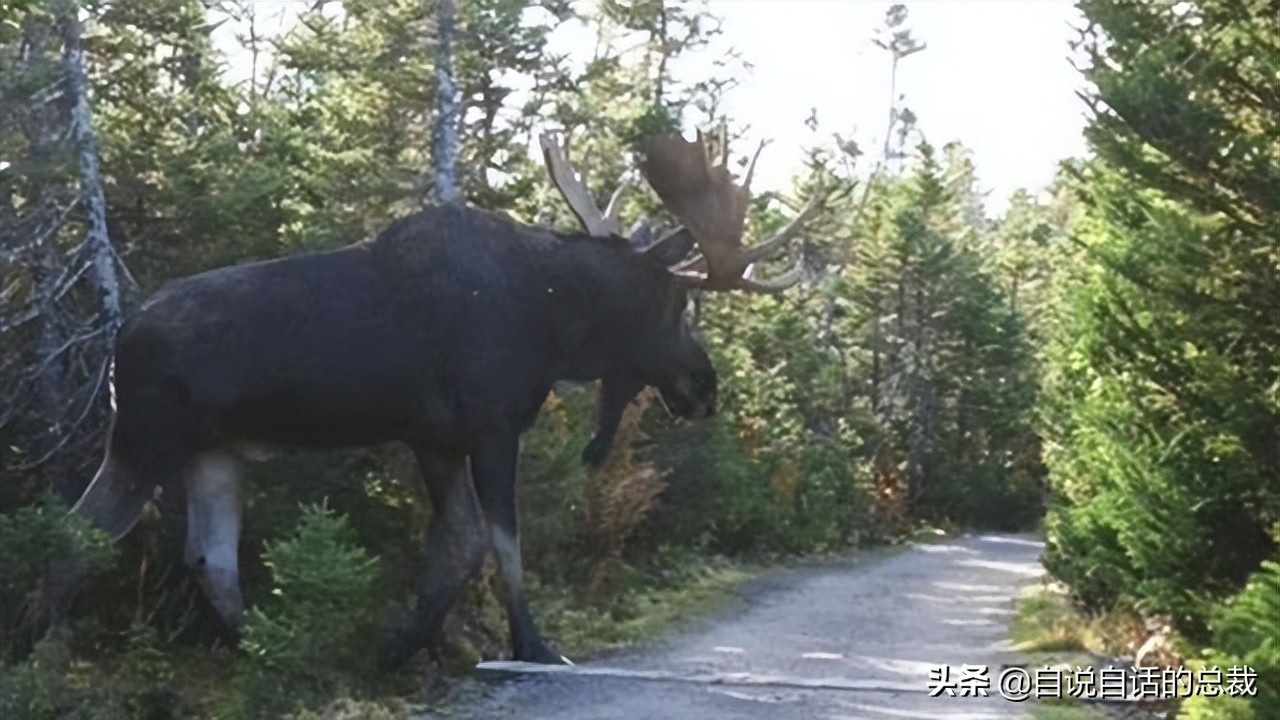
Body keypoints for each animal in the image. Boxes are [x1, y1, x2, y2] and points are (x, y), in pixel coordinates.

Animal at [62, 130, 819, 661]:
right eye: (674, 305)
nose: (705, 386)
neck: (554, 322)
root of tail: (116, 342)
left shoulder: (433, 437)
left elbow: (460, 545)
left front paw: (406, 642)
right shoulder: (489, 425)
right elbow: (501, 542)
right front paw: (530, 644)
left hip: (213, 454)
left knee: (208, 558)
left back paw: (268, 652)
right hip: (144, 441)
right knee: (74, 536)